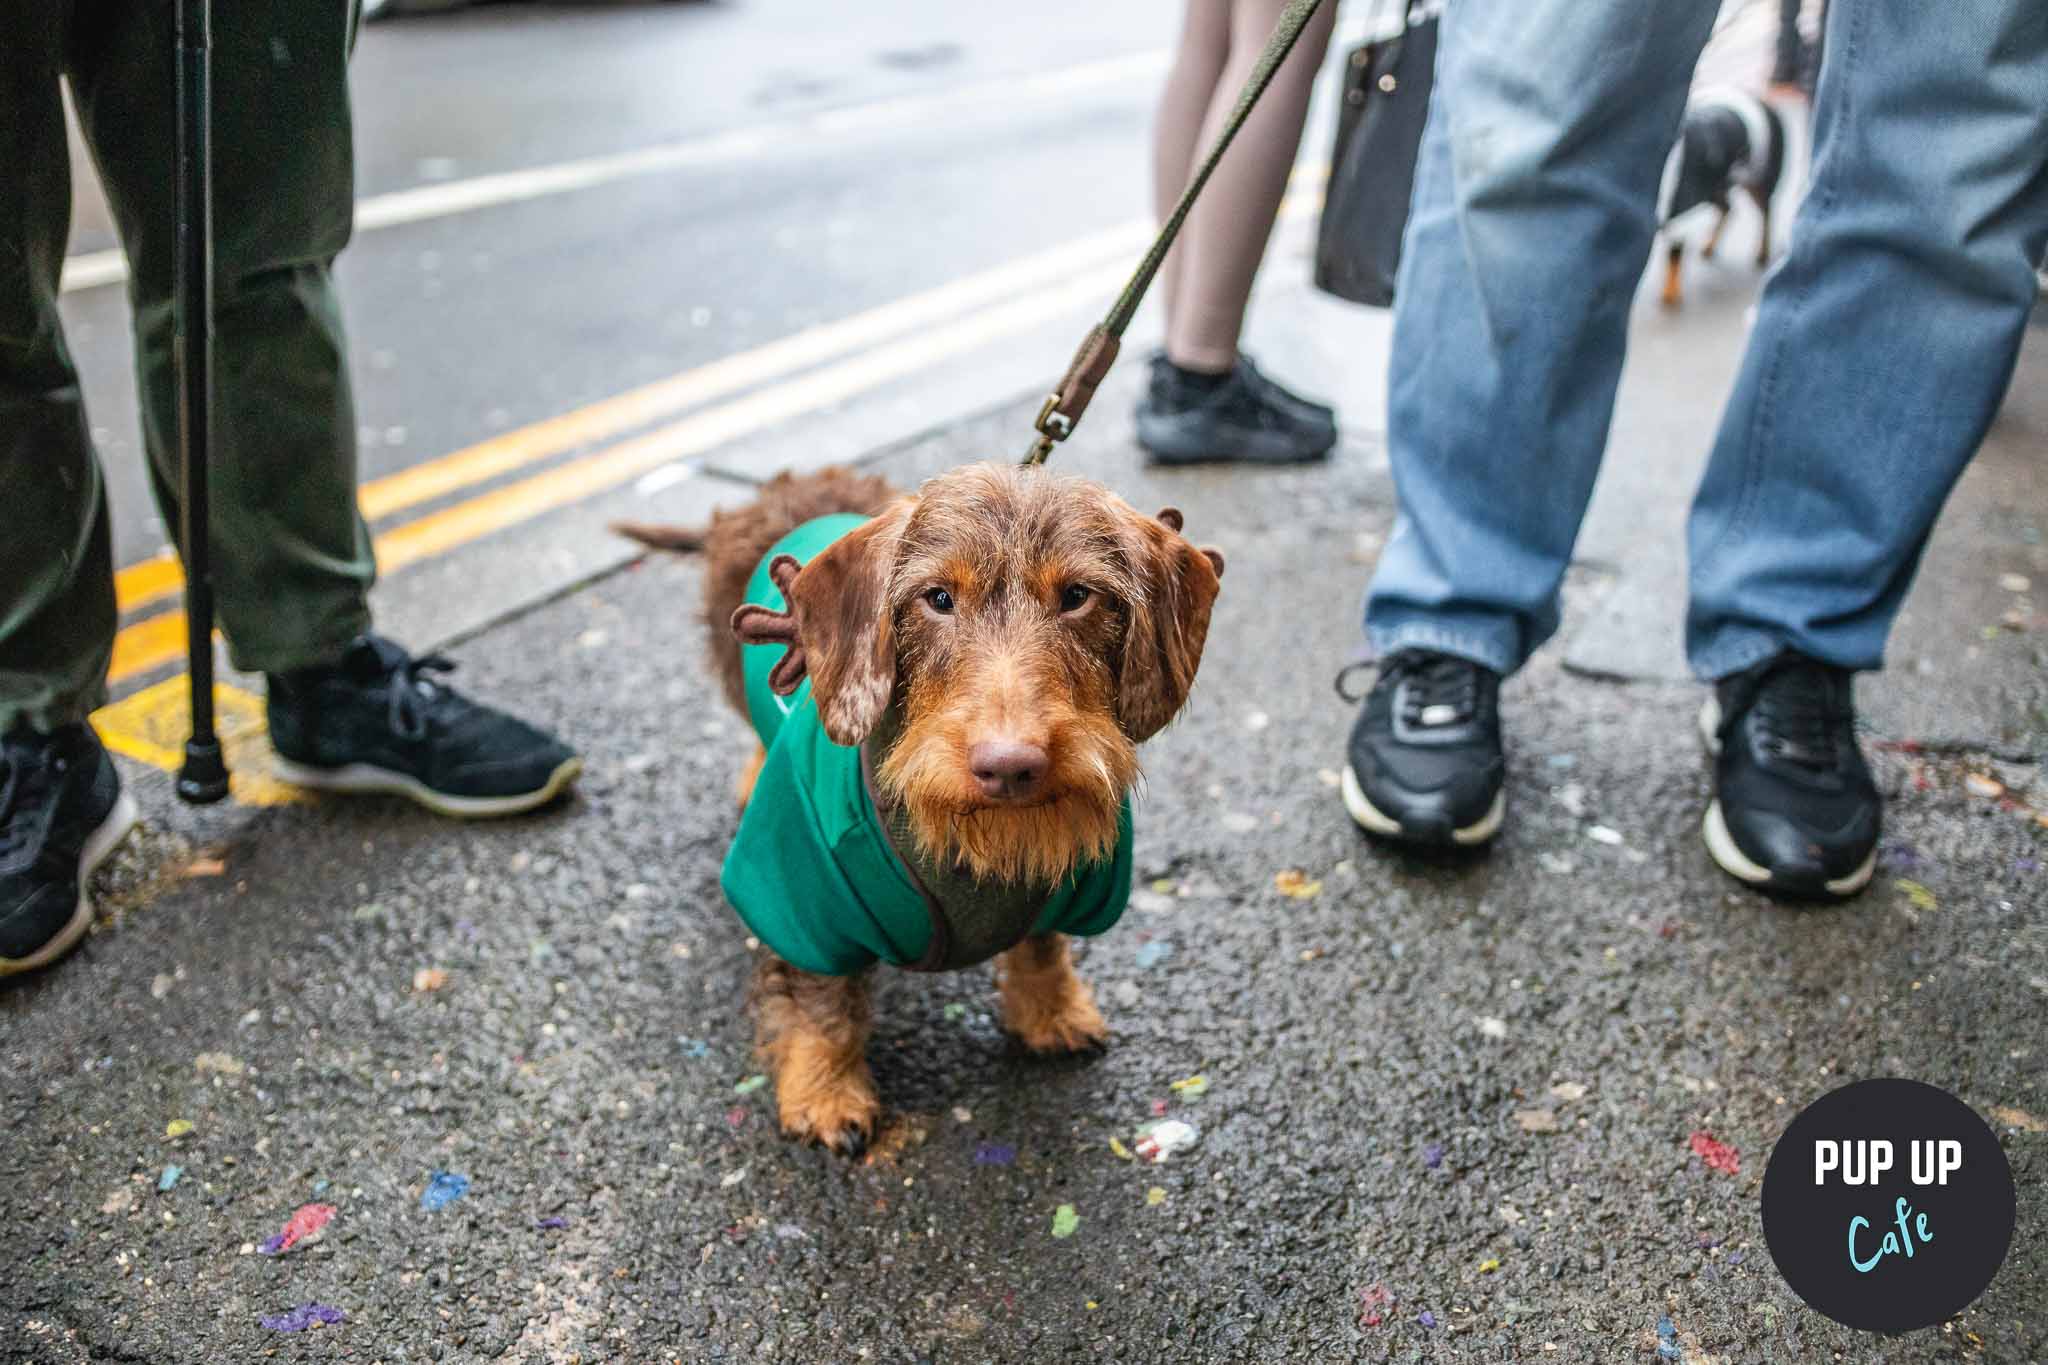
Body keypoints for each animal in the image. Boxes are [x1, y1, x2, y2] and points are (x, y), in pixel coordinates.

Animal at [614, 462, 1220, 1154]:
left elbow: (1042, 949)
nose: (1010, 765)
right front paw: (826, 1095)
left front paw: (1053, 1013)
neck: (972, 842)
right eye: (938, 598)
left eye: (1077, 596)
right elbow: (823, 1006)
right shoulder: (802, 904)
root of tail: (779, 490)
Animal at [1654, 87, 1785, 306]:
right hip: (1715, 186)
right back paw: (1709, 246)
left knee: (1765, 213)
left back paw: (1762, 253)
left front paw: (1670, 296)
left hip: (1759, 179)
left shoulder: (1678, 219)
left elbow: (1674, 257)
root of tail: (1765, 105)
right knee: (1728, 208)